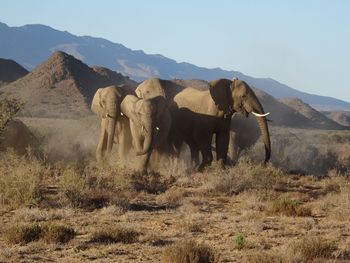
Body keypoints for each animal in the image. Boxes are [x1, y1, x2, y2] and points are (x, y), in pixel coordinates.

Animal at [135, 77, 270, 171]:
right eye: (243, 96)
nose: (264, 164)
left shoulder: (225, 118)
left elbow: (223, 138)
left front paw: (220, 170)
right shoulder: (204, 119)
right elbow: (203, 137)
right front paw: (200, 169)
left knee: (192, 144)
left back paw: (191, 167)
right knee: (178, 143)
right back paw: (179, 167)